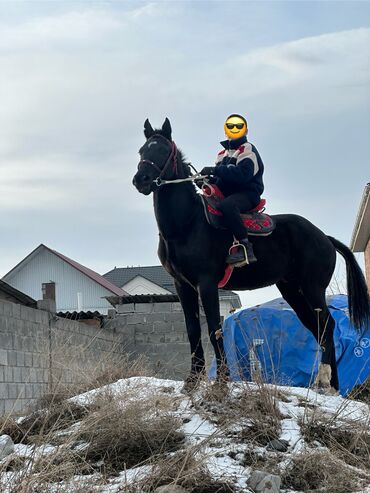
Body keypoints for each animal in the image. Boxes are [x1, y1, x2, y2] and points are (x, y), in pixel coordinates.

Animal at [133, 117, 370, 390]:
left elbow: (214, 328)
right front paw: (192, 381)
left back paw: (326, 382)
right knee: (317, 328)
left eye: (162, 149)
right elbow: (193, 330)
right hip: (293, 290)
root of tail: (324, 237)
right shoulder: (183, 286)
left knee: (327, 326)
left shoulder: (207, 283)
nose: (141, 179)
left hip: (313, 288)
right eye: (142, 150)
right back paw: (329, 385)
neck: (187, 224)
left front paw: (222, 380)